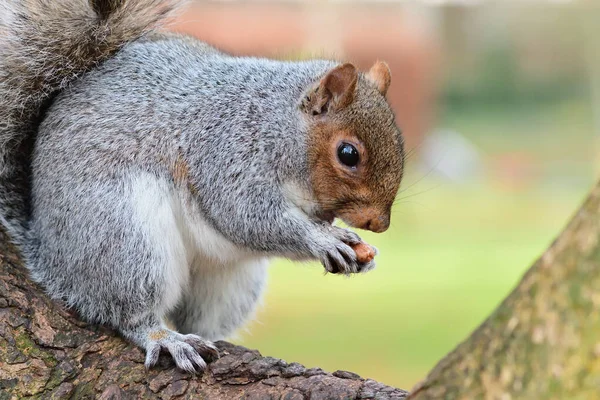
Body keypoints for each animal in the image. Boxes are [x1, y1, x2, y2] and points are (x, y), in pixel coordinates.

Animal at [0, 0, 406, 372]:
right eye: (348, 154)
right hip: (123, 240)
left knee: (201, 317)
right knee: (128, 312)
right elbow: (246, 216)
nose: (379, 223)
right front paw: (323, 241)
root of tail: (48, 252)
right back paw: (164, 337)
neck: (278, 124)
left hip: (229, 282)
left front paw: (359, 252)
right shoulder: (225, 151)